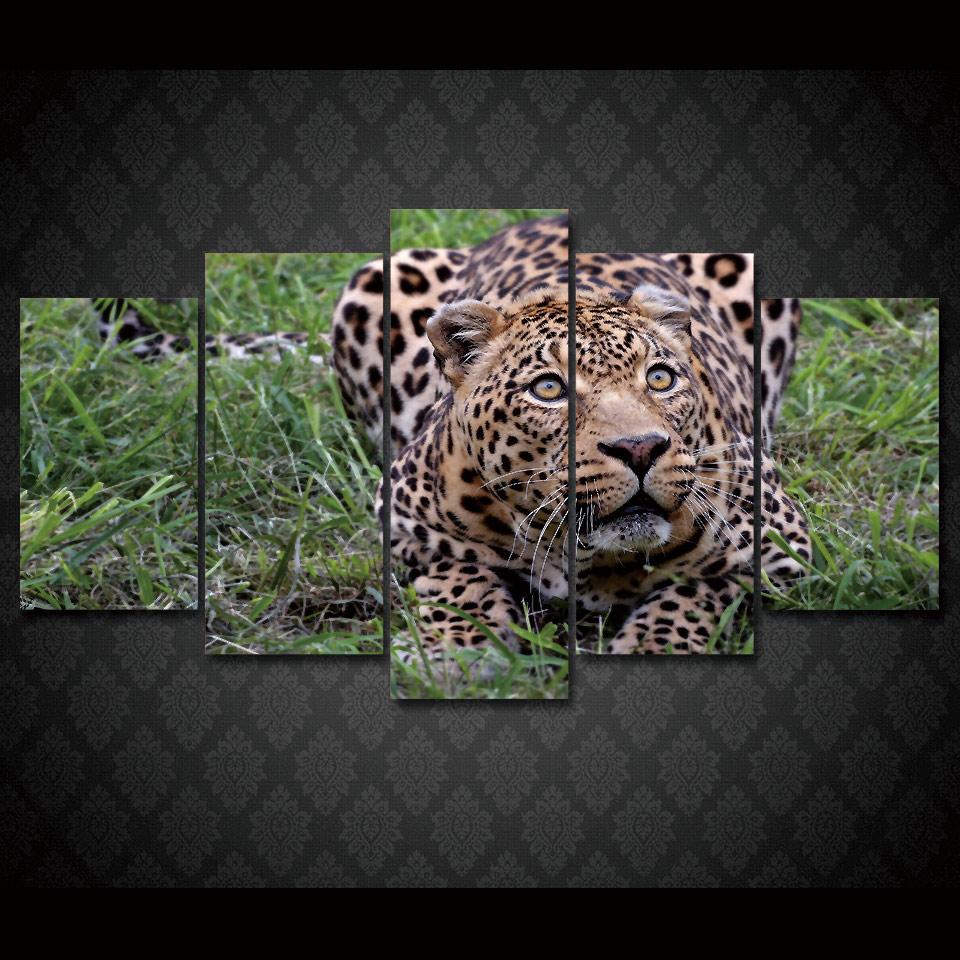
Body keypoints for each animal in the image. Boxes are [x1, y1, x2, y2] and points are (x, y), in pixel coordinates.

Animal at [330, 215, 810, 657]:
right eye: (548, 389)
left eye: (659, 379)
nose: (640, 449)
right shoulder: (403, 523)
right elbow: (460, 575)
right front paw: (454, 649)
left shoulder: (782, 548)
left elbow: (694, 591)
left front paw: (652, 645)